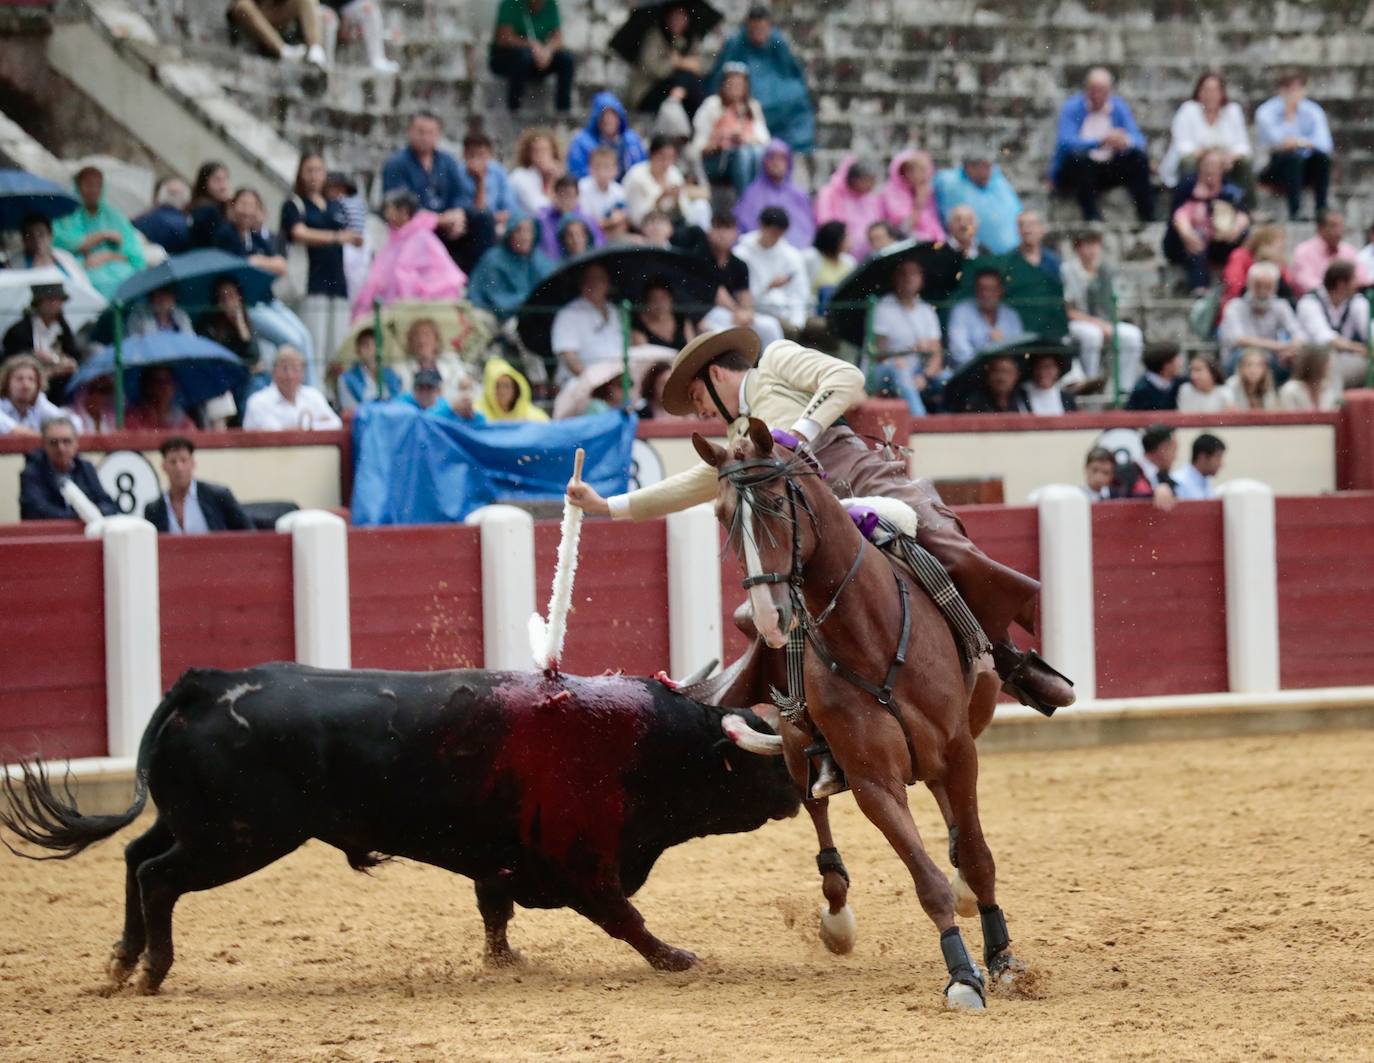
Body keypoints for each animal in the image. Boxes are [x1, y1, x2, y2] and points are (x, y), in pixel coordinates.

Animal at [2, 661, 796, 994]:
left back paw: (121, 961)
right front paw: (676, 958)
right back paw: (153, 971)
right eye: (766, 765)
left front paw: (505, 963)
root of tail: (204, 682)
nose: (800, 792)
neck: (649, 744)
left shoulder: (500, 860)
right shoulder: (583, 862)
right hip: (238, 838)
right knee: (157, 874)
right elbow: (624, 916)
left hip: (199, 824)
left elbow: (495, 911)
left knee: (134, 856)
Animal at [697, 420, 1022, 1010]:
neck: (872, 634)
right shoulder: (873, 780)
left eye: (776, 502)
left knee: (948, 809)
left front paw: (1003, 957)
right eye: (719, 512)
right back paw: (837, 918)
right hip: (798, 747)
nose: (768, 618)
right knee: (819, 814)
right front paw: (962, 976)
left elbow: (980, 856)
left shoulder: (961, 750)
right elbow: (924, 878)